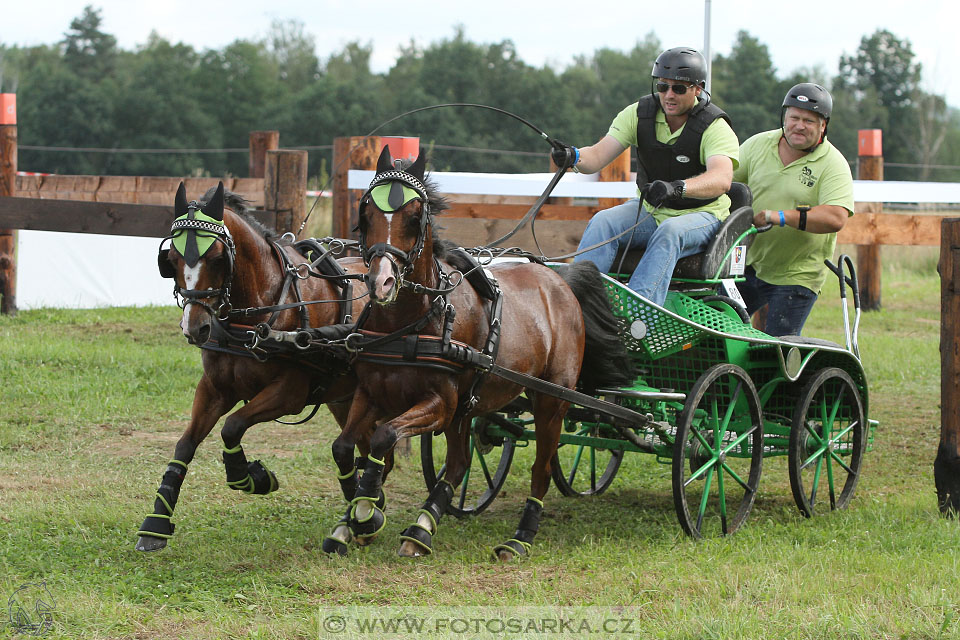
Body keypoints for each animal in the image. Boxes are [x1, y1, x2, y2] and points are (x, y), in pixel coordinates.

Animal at [137, 182, 374, 552]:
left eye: (217, 258)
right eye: (171, 259)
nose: (195, 327)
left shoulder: (289, 394)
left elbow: (232, 426)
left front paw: (253, 477)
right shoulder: (214, 389)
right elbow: (185, 444)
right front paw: (156, 522)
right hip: (344, 398)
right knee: (359, 447)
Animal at [322, 150, 632, 560]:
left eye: (415, 215)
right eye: (366, 211)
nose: (381, 282)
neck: (411, 323)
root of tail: (560, 279)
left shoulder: (440, 404)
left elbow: (383, 437)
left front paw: (365, 511)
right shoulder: (372, 394)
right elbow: (344, 447)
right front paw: (355, 518)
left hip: (550, 399)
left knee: (540, 468)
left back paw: (518, 538)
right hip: (468, 409)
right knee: (459, 463)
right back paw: (421, 529)